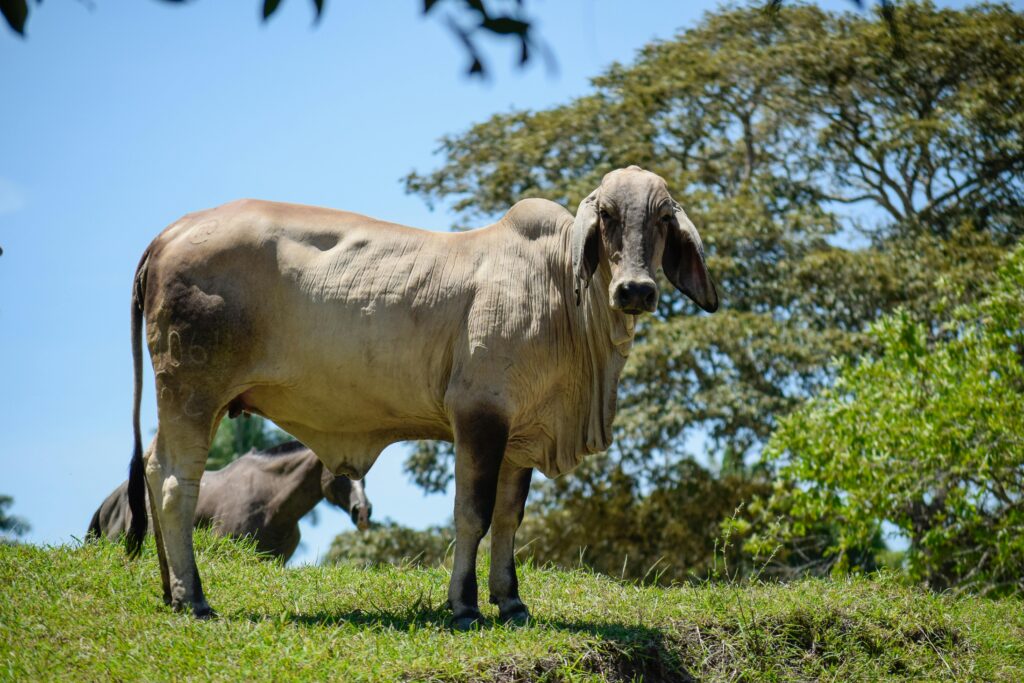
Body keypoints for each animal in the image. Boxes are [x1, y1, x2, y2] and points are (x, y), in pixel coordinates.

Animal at [124, 165, 717, 628]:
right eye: (608, 216)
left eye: (663, 219)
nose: (635, 290)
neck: (558, 293)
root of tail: (169, 233)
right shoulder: (479, 416)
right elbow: (472, 515)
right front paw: (465, 605)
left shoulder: (520, 435)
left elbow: (509, 518)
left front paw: (511, 602)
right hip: (192, 390)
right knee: (177, 483)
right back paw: (195, 598)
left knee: (153, 468)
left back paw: (169, 590)